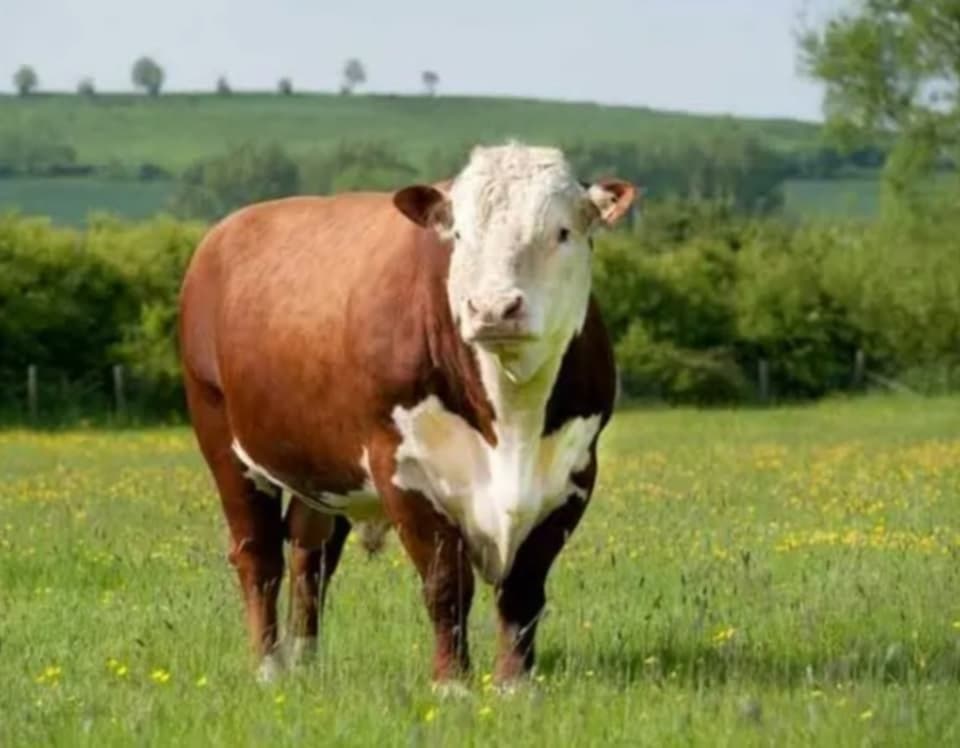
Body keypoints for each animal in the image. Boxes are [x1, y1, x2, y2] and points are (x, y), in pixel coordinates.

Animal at [177, 141, 636, 689]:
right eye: (459, 234)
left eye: (562, 232)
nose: (493, 308)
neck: (511, 420)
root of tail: (224, 232)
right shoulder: (402, 470)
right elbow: (446, 583)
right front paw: (452, 683)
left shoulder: (572, 474)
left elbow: (523, 590)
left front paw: (514, 685)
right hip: (224, 439)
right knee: (258, 554)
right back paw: (270, 667)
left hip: (323, 468)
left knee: (311, 554)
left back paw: (305, 661)